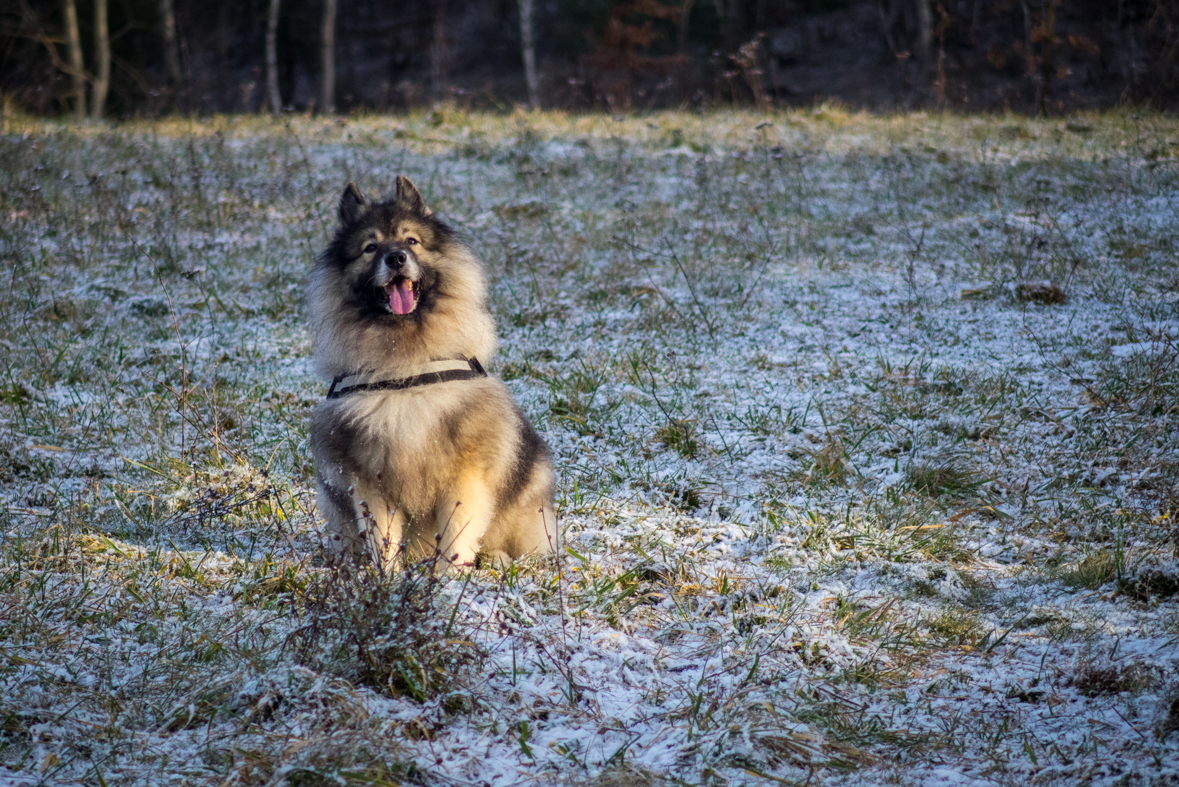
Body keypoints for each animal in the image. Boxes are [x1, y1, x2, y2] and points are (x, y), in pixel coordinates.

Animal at [308, 175, 556, 567]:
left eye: (411, 241)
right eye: (370, 248)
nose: (396, 257)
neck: (405, 369)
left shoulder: (465, 475)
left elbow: (457, 533)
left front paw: (449, 577)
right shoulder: (367, 481)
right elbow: (383, 538)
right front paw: (387, 576)